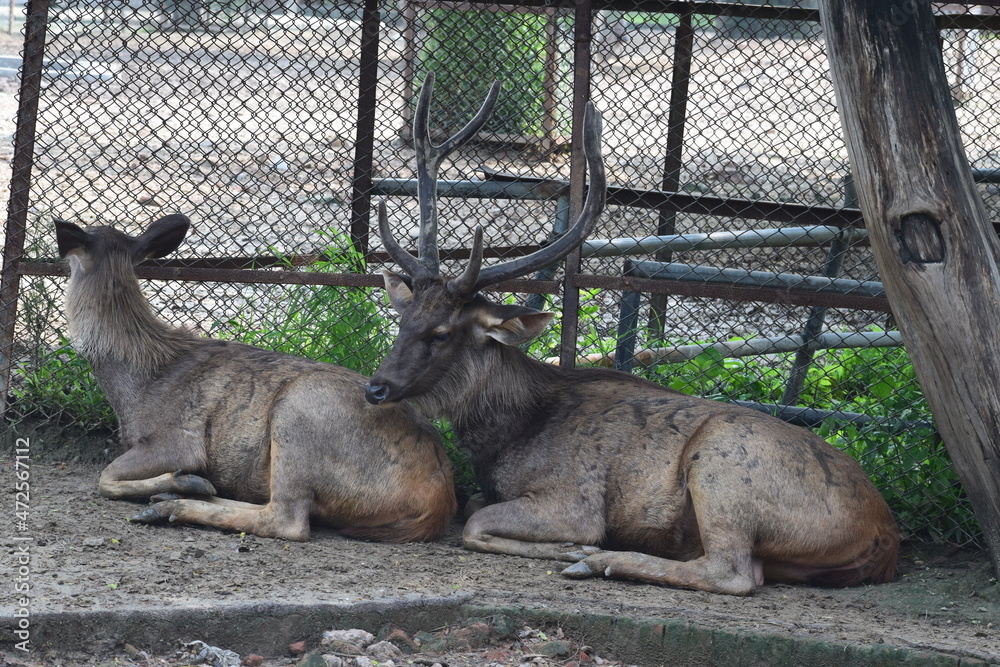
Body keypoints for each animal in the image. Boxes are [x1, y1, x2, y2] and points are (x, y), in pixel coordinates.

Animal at [54, 215, 457, 542]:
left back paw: (174, 504)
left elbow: (104, 480)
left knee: (289, 520)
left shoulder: (176, 439)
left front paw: (183, 479)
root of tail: (438, 503)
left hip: (299, 408)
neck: (131, 380)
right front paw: (183, 482)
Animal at [363, 73, 900, 595]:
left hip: (723, 467)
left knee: (733, 573)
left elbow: (476, 524)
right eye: (403, 319)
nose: (376, 388)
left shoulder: (573, 498)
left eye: (441, 333)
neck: (508, 435)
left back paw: (600, 561)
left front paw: (574, 548)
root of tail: (883, 535)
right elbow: (473, 506)